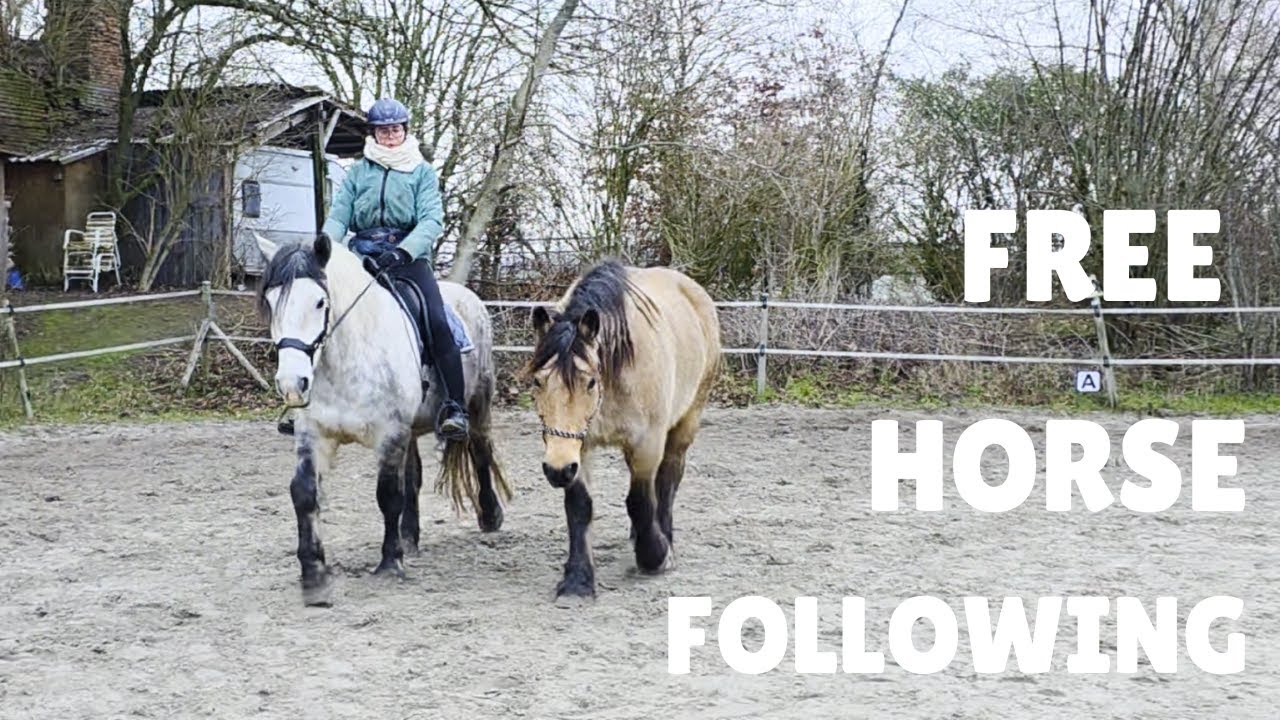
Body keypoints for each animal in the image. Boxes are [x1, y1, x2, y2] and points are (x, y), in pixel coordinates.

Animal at [254, 232, 511, 606]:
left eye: (319, 302)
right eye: (272, 302)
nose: (292, 383)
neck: (347, 358)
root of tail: (468, 297)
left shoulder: (390, 432)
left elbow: (388, 494)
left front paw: (390, 564)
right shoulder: (314, 434)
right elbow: (304, 493)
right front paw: (314, 575)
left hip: (477, 404)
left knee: (479, 450)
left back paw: (490, 517)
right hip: (412, 428)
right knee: (413, 478)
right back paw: (409, 537)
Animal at [523, 258, 721, 599]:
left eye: (590, 381)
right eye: (538, 381)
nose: (556, 470)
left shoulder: (646, 444)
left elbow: (640, 502)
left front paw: (656, 556)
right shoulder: (579, 447)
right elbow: (579, 507)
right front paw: (577, 581)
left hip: (687, 420)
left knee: (667, 481)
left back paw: (664, 535)